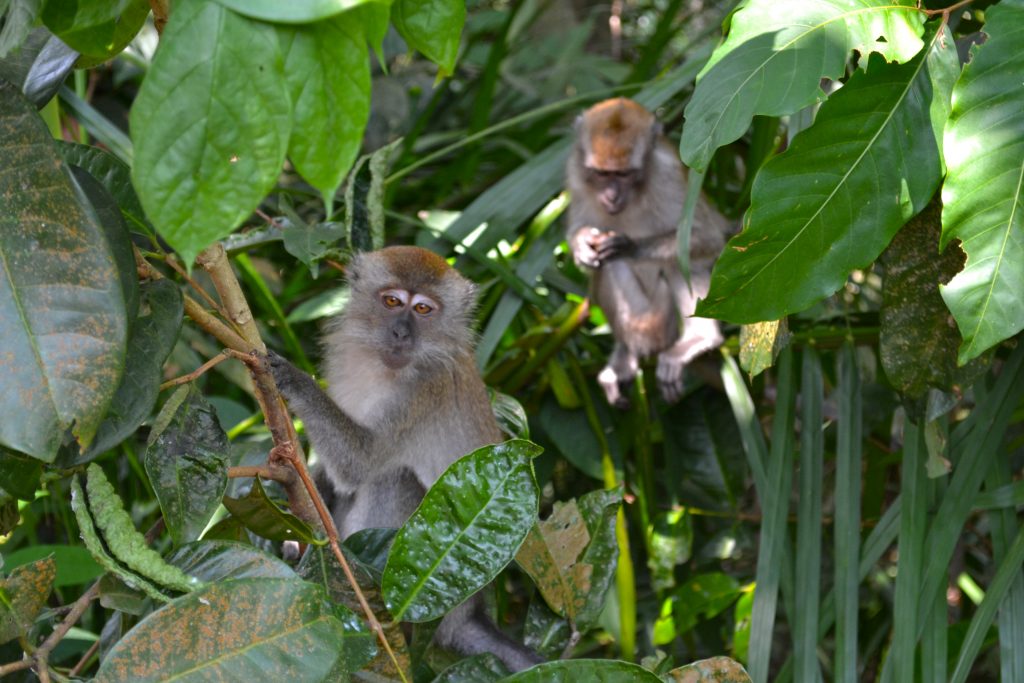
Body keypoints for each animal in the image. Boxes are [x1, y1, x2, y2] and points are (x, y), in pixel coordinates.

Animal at [268, 245, 548, 671]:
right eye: (392, 302)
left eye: (423, 310)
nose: (401, 332)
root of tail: (468, 614)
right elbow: (332, 473)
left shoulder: (425, 389)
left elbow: (359, 463)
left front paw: (292, 379)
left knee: (393, 476)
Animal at [569, 95, 729, 405]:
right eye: (601, 174)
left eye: (624, 174)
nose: (611, 196)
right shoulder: (575, 174)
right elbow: (578, 230)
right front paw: (582, 243)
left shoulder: (667, 176)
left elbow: (706, 236)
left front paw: (627, 245)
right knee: (603, 266)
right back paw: (627, 351)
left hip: (663, 319)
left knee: (679, 263)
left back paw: (700, 337)